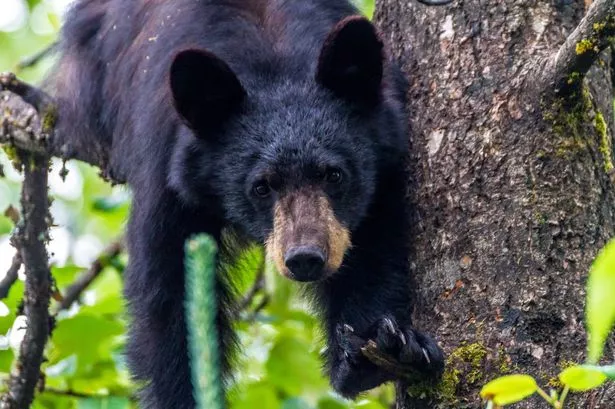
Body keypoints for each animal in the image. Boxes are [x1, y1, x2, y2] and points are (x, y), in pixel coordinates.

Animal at [47, 0, 442, 406]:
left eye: (334, 175)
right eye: (261, 187)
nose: (305, 258)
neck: (274, 61)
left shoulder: (385, 161)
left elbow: (376, 248)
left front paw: (382, 347)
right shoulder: (168, 174)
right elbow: (168, 295)